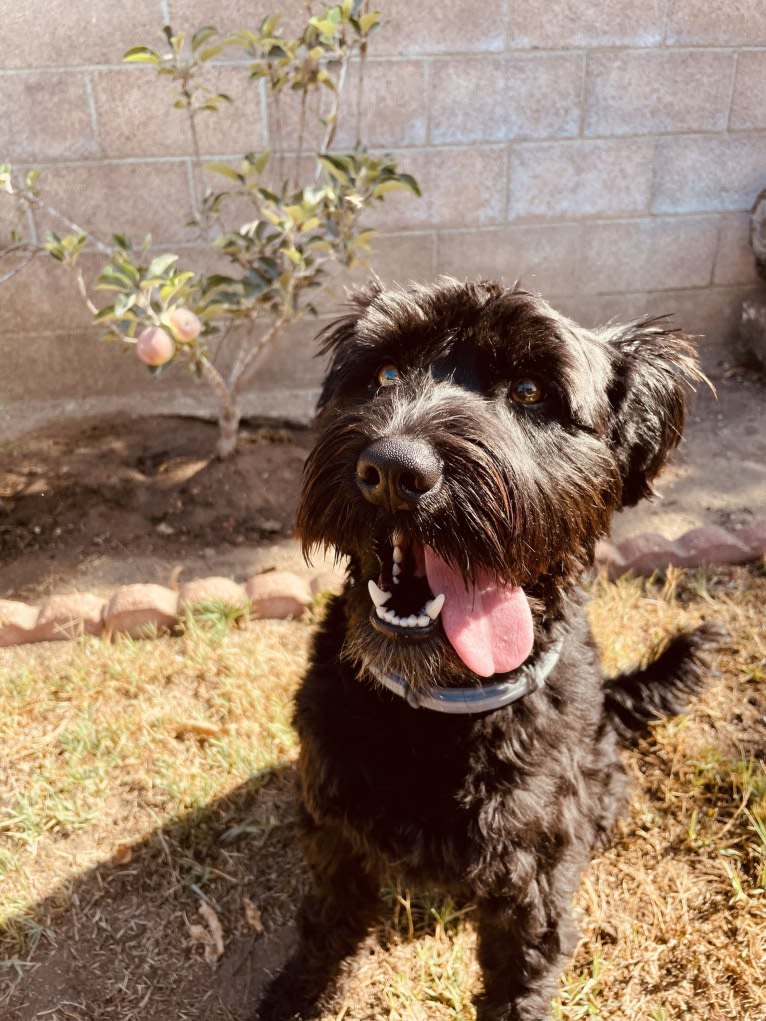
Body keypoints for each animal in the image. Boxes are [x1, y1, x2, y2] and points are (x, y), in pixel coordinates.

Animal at [259, 279, 719, 1021]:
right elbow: (327, 918)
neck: (435, 715)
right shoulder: (333, 830)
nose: (392, 469)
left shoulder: (532, 877)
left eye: (531, 391)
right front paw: (301, 989)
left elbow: (521, 975)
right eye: (385, 374)